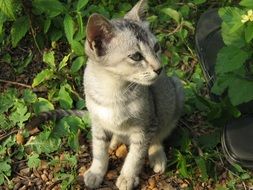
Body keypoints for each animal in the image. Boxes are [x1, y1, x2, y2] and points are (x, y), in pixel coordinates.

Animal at [83, 0, 184, 189]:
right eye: (136, 56)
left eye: (156, 47)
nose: (159, 68)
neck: (113, 92)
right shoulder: (97, 121)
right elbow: (99, 150)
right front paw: (96, 172)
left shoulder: (145, 126)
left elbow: (136, 155)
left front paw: (127, 177)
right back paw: (114, 142)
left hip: (175, 94)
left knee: (159, 136)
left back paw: (156, 155)